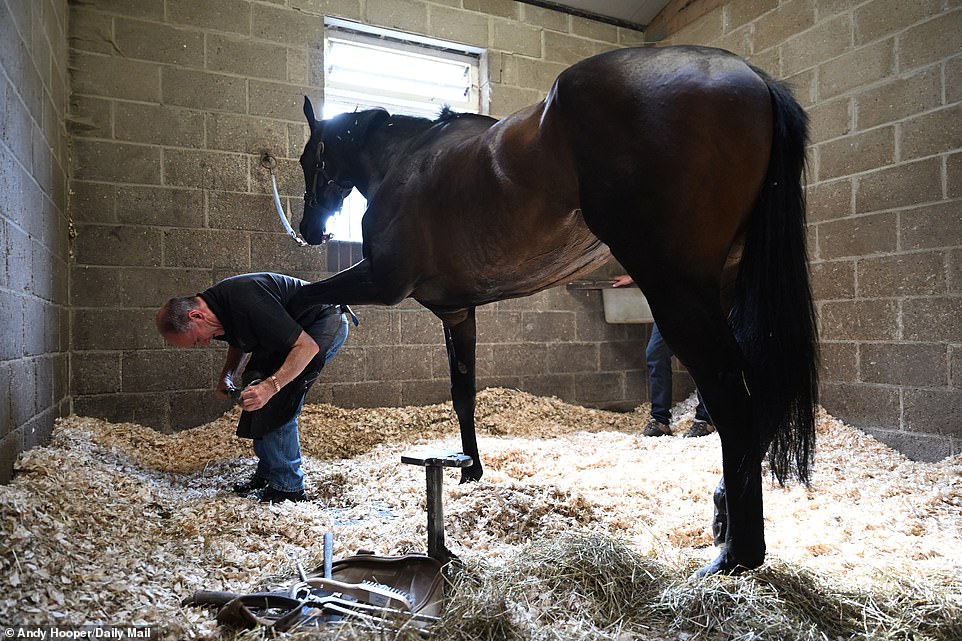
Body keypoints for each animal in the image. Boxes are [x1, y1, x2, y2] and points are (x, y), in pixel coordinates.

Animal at [288, 46, 812, 576]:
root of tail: (752, 79)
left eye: (308, 158)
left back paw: (735, 556)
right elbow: (463, 393)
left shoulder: (382, 281)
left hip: (677, 293)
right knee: (757, 397)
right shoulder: (457, 312)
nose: (310, 230)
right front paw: (472, 470)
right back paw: (724, 522)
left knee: (732, 400)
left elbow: (299, 299)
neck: (404, 161)